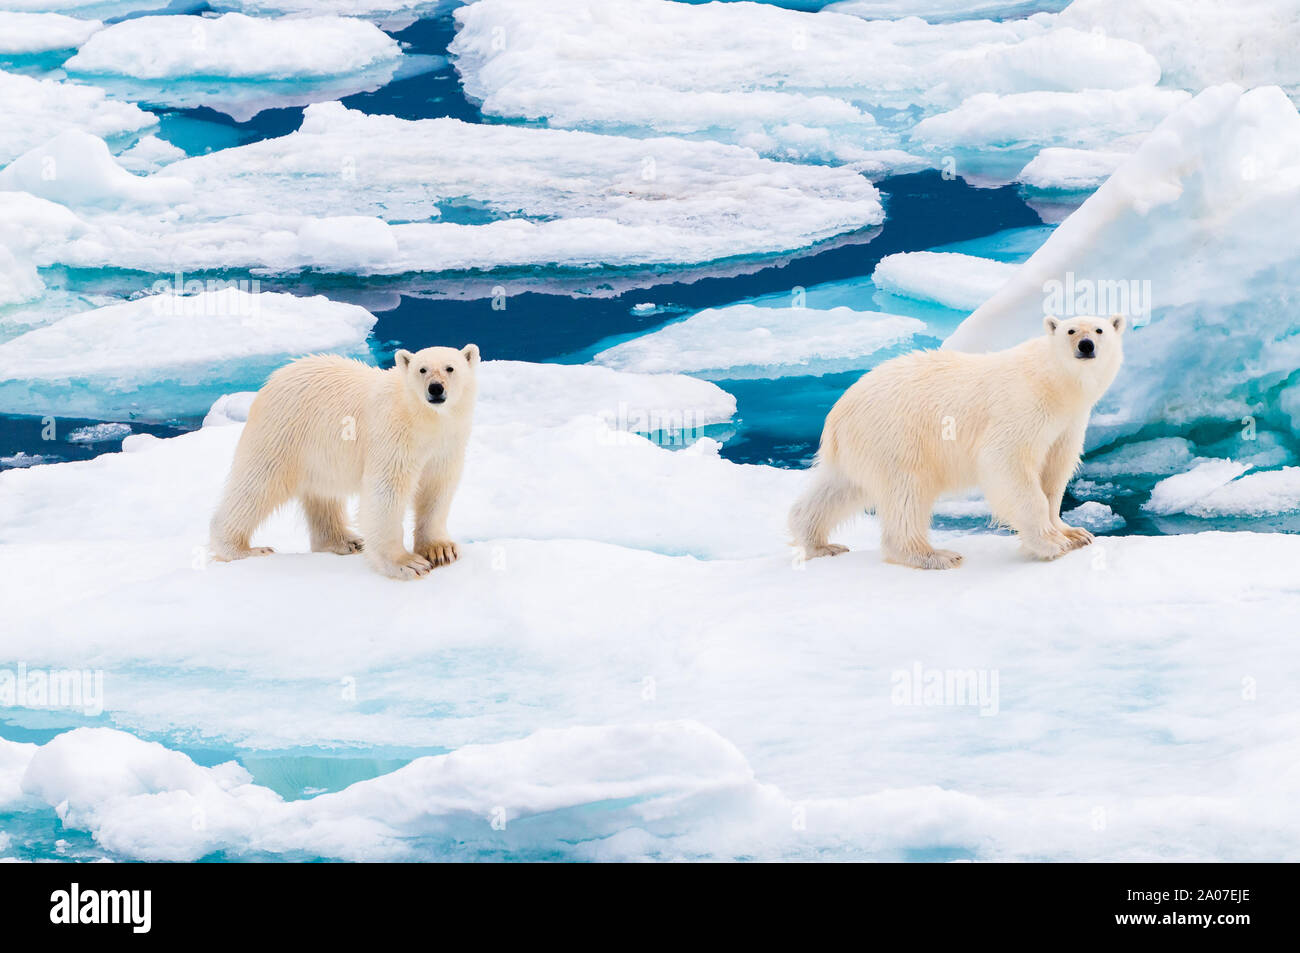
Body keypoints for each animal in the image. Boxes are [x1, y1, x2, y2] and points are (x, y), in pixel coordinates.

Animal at [209, 344, 480, 580]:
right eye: (422, 369)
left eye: (450, 368)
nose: (435, 388)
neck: (424, 419)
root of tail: (274, 378)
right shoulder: (394, 434)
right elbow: (386, 491)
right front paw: (406, 563)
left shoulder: (446, 444)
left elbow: (437, 488)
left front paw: (440, 550)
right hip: (282, 432)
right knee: (257, 484)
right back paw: (242, 549)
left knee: (322, 494)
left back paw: (345, 541)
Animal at [789, 315, 1125, 569]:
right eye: (1071, 330)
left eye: (1099, 330)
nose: (1086, 345)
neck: (1053, 384)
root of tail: (839, 412)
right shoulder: (1022, 406)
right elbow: (1006, 462)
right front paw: (1050, 543)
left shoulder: (1068, 424)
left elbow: (1054, 475)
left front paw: (1075, 533)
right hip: (896, 436)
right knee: (907, 492)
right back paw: (935, 555)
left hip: (859, 446)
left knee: (838, 489)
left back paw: (818, 543)